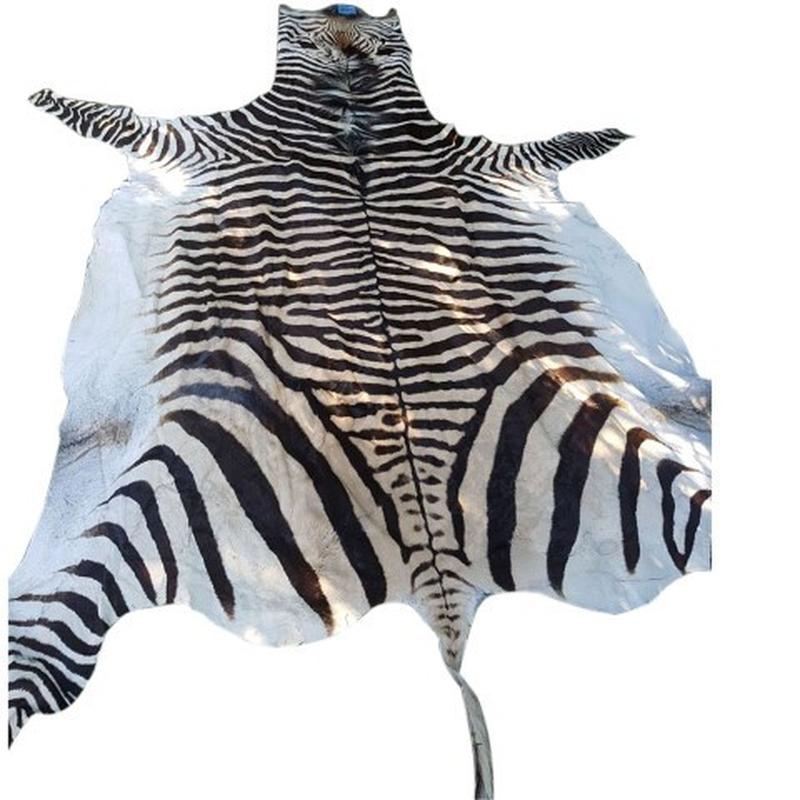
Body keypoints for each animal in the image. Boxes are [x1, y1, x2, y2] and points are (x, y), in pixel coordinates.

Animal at [9, 5, 711, 798]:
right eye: (313, 24)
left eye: (374, 23)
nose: (344, 10)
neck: (349, 100)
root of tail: (443, 585)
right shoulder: (211, 138)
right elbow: (114, 117)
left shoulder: (478, 157)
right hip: (127, 499)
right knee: (41, 655)